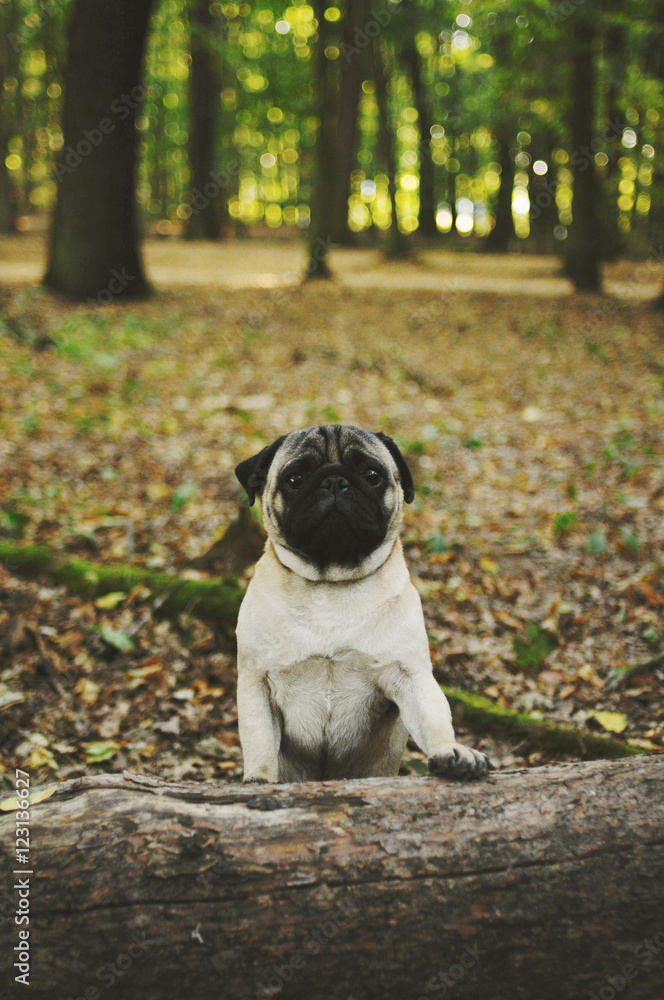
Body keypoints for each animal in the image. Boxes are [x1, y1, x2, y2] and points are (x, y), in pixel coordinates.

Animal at [235, 426, 492, 784]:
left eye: (372, 475)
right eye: (295, 479)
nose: (334, 481)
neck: (330, 585)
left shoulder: (408, 675)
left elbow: (434, 719)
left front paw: (451, 752)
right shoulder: (257, 681)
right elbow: (259, 739)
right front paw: (259, 780)